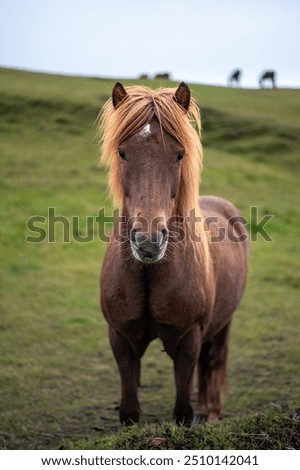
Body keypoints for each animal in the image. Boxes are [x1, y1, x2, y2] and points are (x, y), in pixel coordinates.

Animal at [98, 81, 248, 426]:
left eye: (180, 154)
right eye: (123, 152)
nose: (149, 242)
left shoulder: (189, 338)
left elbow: (182, 411)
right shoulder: (121, 338)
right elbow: (130, 412)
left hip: (222, 324)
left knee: (213, 361)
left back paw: (210, 412)